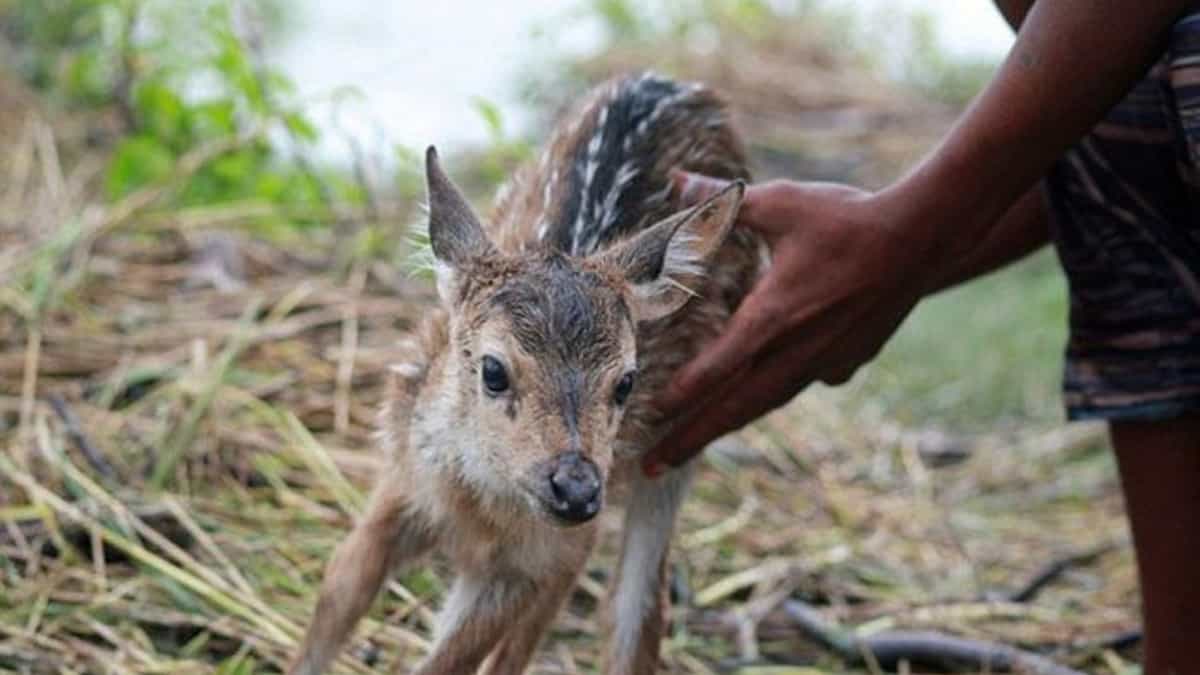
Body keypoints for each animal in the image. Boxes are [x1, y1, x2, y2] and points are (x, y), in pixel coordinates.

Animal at [289, 73, 758, 672]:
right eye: (493, 369)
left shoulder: (529, 558)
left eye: (626, 382)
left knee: (631, 607)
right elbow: (335, 595)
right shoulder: (402, 480)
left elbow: (452, 660)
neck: (479, 505)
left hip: (680, 442)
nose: (575, 488)